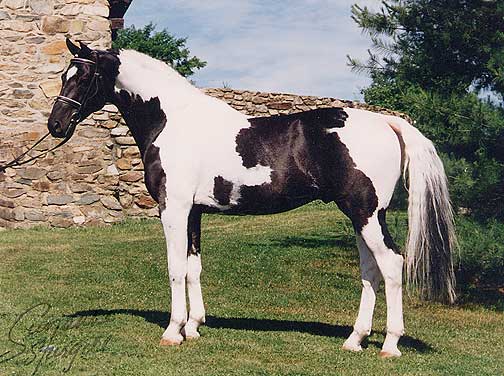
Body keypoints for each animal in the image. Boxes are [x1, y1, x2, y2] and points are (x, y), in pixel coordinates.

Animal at [48, 39, 456, 356]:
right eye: (64, 75)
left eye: (83, 76)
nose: (55, 125)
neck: (171, 120)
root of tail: (387, 121)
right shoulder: (194, 212)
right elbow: (194, 267)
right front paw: (194, 327)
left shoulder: (173, 209)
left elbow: (175, 268)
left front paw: (173, 331)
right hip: (360, 216)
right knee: (371, 271)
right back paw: (355, 340)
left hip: (367, 213)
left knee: (391, 265)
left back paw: (390, 345)